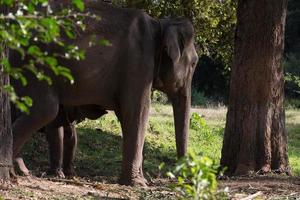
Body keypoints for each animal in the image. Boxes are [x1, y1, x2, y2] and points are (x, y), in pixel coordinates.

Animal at [11, 1, 199, 186]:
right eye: (194, 63)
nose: (185, 180)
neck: (161, 24)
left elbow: (127, 116)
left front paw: (137, 180)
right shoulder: (139, 63)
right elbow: (138, 112)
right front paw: (138, 183)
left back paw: (19, 171)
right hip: (36, 64)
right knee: (46, 110)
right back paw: (16, 172)